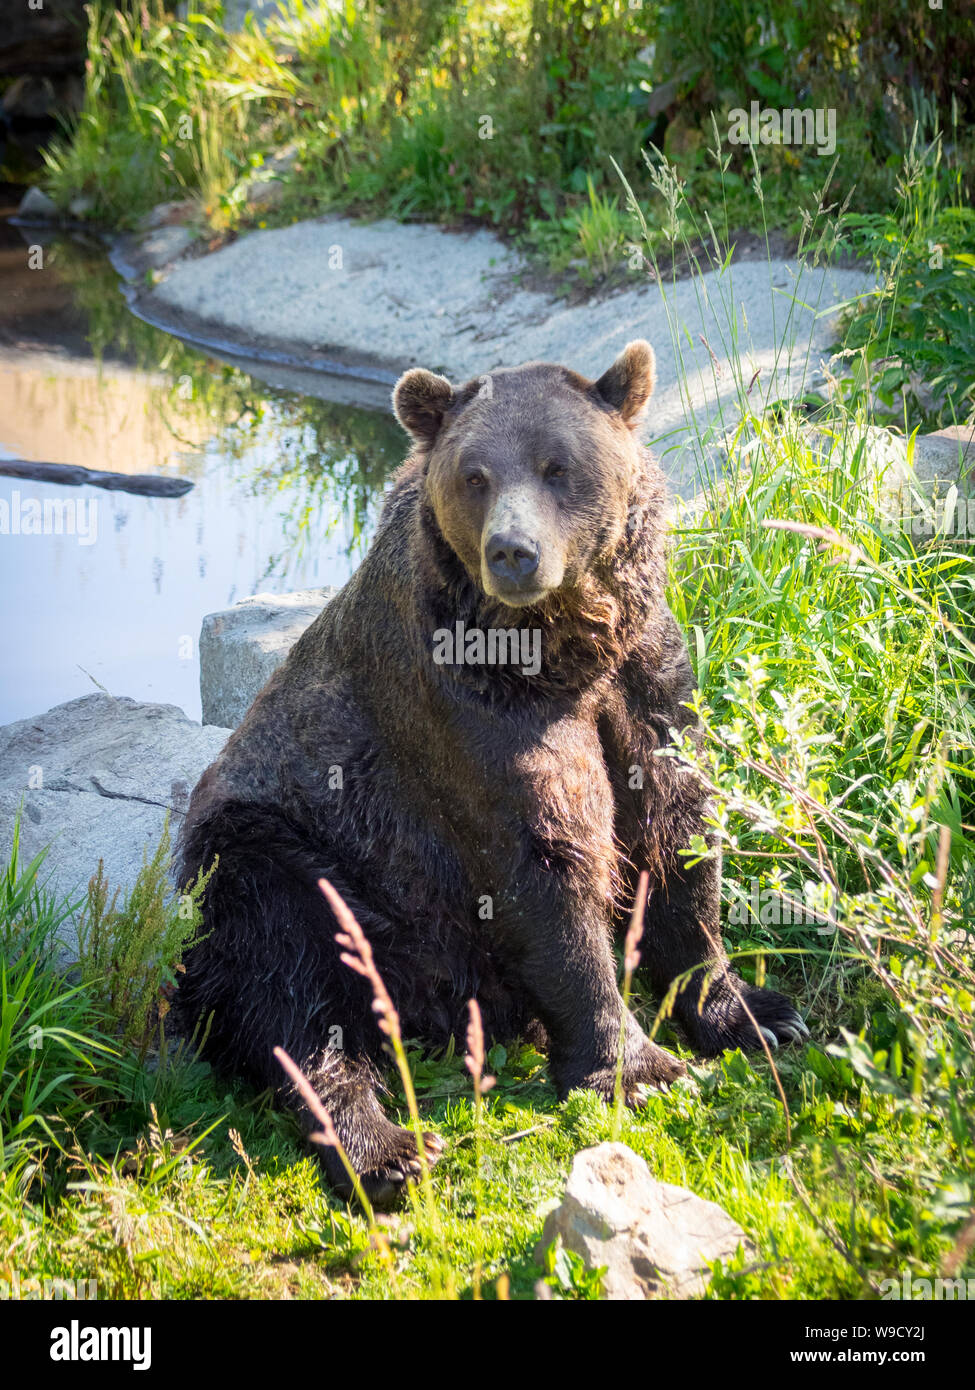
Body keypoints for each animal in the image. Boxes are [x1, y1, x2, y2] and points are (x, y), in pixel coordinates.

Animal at [174, 339, 807, 1206]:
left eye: (557, 465)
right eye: (474, 474)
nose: (513, 552)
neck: (563, 650)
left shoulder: (644, 676)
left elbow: (676, 829)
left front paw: (751, 1011)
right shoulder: (470, 718)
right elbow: (544, 863)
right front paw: (636, 1069)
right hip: (271, 852)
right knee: (293, 985)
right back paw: (388, 1149)